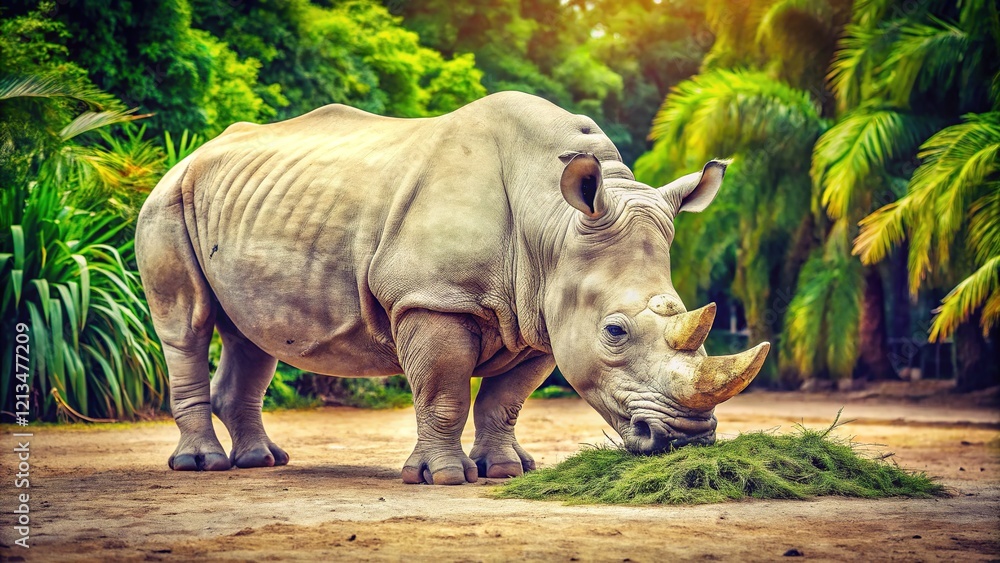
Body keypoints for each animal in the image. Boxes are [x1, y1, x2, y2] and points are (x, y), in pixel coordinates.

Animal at [136, 91, 769, 485]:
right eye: (614, 331)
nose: (686, 439)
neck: (553, 225)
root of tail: (192, 154)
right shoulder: (433, 298)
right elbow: (443, 391)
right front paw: (441, 477)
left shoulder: (541, 313)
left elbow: (505, 399)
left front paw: (507, 470)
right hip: (167, 199)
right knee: (187, 326)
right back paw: (203, 466)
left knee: (254, 333)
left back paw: (262, 462)